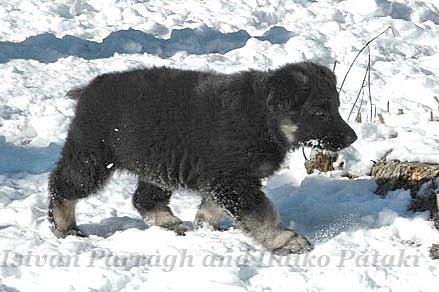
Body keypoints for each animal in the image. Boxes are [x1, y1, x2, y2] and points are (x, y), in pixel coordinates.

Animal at [48, 62, 358, 254]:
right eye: (320, 112)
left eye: (336, 107)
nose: (352, 137)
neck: (263, 117)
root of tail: (89, 88)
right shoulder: (233, 180)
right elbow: (262, 213)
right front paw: (285, 241)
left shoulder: (225, 179)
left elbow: (213, 205)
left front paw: (206, 227)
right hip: (92, 157)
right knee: (62, 185)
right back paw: (64, 227)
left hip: (158, 163)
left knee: (144, 199)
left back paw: (170, 224)